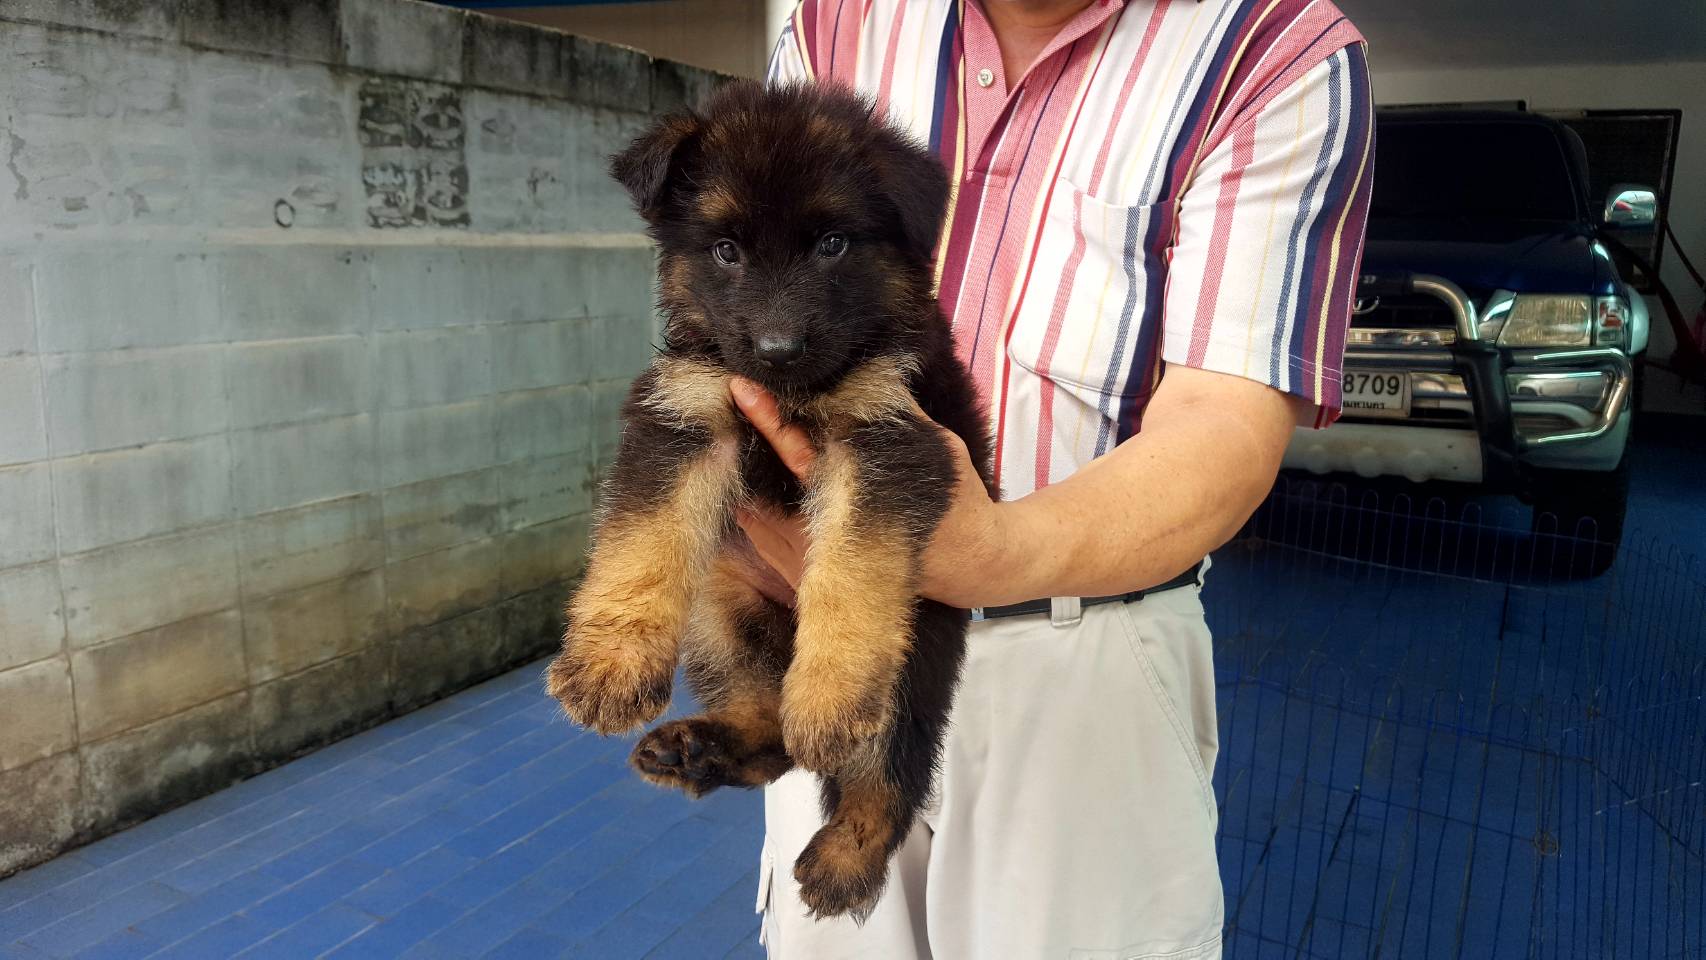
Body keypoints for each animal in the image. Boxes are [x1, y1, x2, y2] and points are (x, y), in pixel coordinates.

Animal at [546, 80, 995, 919]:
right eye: (727, 251)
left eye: (833, 245)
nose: (778, 351)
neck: (797, 391)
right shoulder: (686, 413)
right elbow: (643, 539)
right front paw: (612, 661)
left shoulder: (886, 439)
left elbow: (851, 575)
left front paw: (830, 693)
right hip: (724, 605)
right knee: (768, 727)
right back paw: (697, 748)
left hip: (916, 652)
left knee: (889, 770)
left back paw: (847, 852)